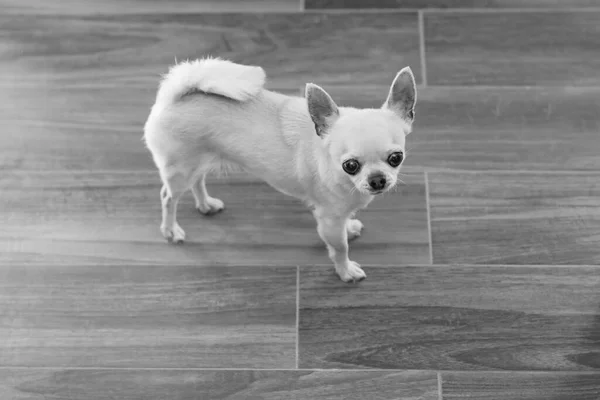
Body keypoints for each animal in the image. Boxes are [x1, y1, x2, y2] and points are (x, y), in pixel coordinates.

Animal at [142, 56, 414, 282]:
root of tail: (175, 96)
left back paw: (205, 205)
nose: (377, 180)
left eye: (396, 158)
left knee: (198, 182)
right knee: (168, 197)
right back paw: (170, 230)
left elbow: (346, 223)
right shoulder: (328, 219)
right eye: (350, 166)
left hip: (199, 162)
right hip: (180, 171)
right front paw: (346, 271)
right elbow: (339, 248)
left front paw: (350, 227)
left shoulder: (338, 212)